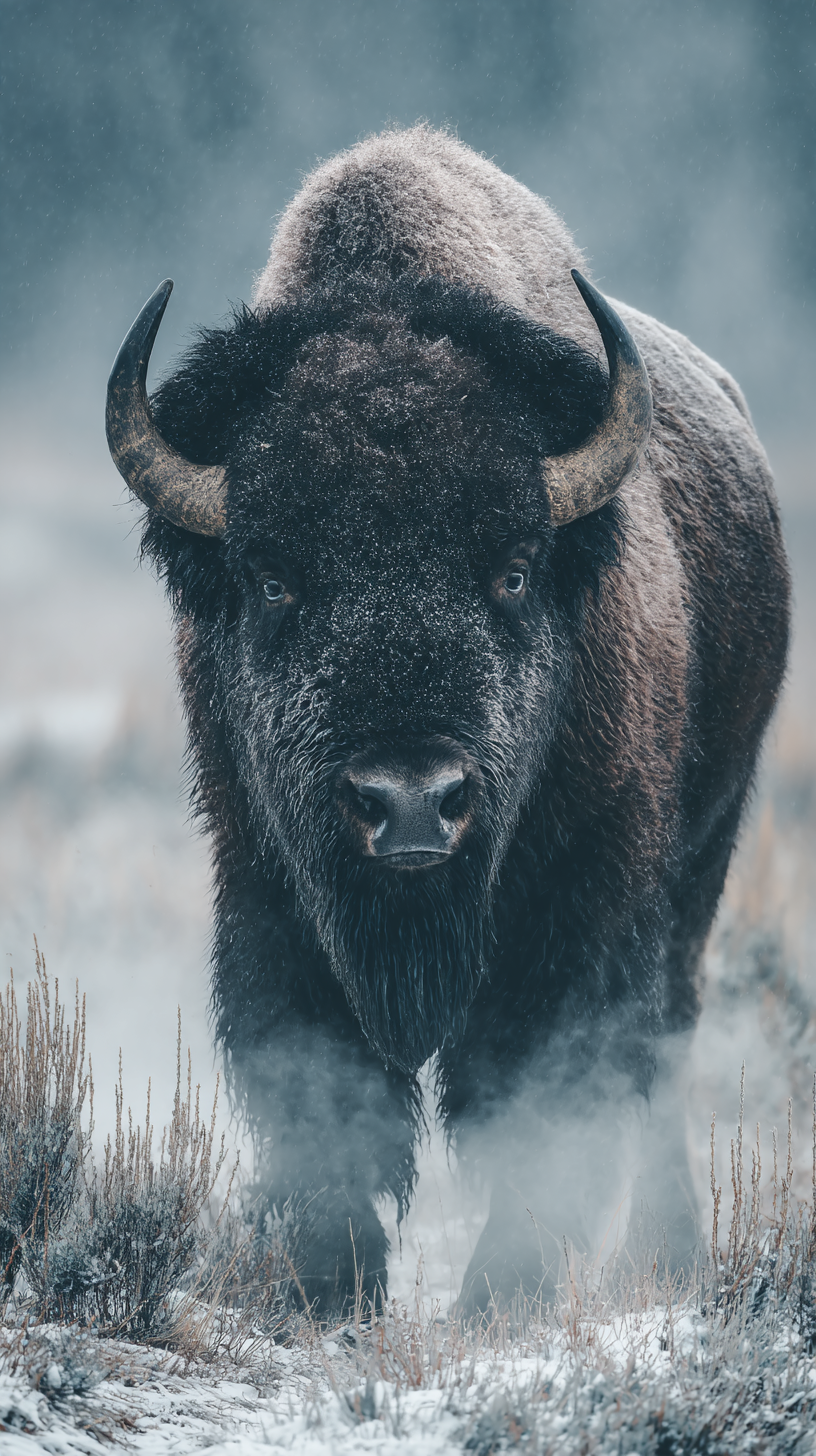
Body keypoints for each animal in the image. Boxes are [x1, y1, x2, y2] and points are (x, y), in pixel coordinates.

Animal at [106, 127, 789, 1315]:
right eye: (273, 578)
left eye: (513, 570)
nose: (413, 803)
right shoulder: (267, 882)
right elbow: (324, 1088)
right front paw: (327, 1284)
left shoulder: (581, 903)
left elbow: (539, 1091)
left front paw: (499, 1290)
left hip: (705, 858)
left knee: (666, 1038)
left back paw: (667, 1259)